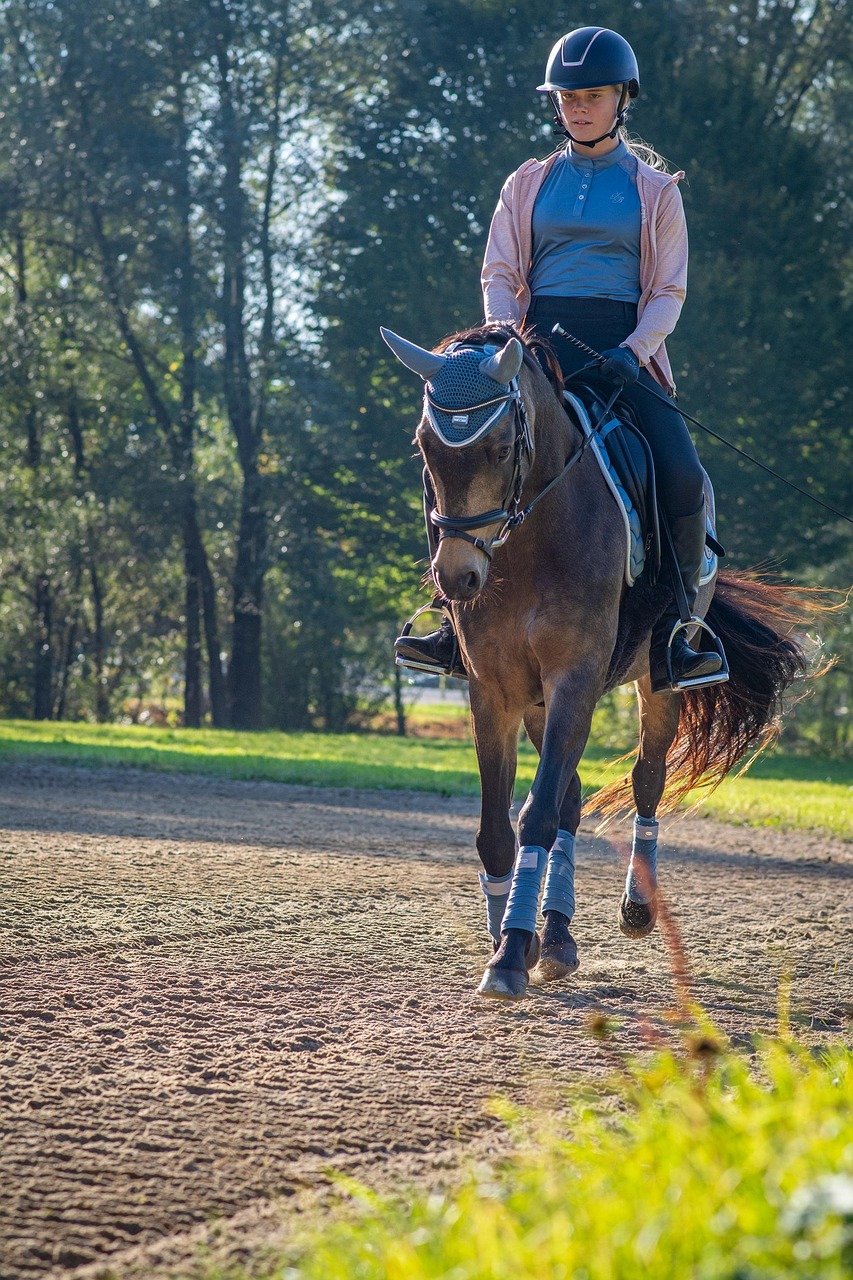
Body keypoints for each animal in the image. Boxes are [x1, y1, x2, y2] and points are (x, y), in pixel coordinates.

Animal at [382, 321, 812, 1000]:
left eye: (500, 449)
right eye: (426, 446)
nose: (457, 578)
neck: (528, 544)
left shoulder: (575, 678)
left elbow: (535, 815)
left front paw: (511, 954)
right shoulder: (493, 690)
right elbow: (497, 828)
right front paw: (510, 938)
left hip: (654, 683)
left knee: (644, 781)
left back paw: (634, 907)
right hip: (537, 700)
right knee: (572, 795)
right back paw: (555, 935)